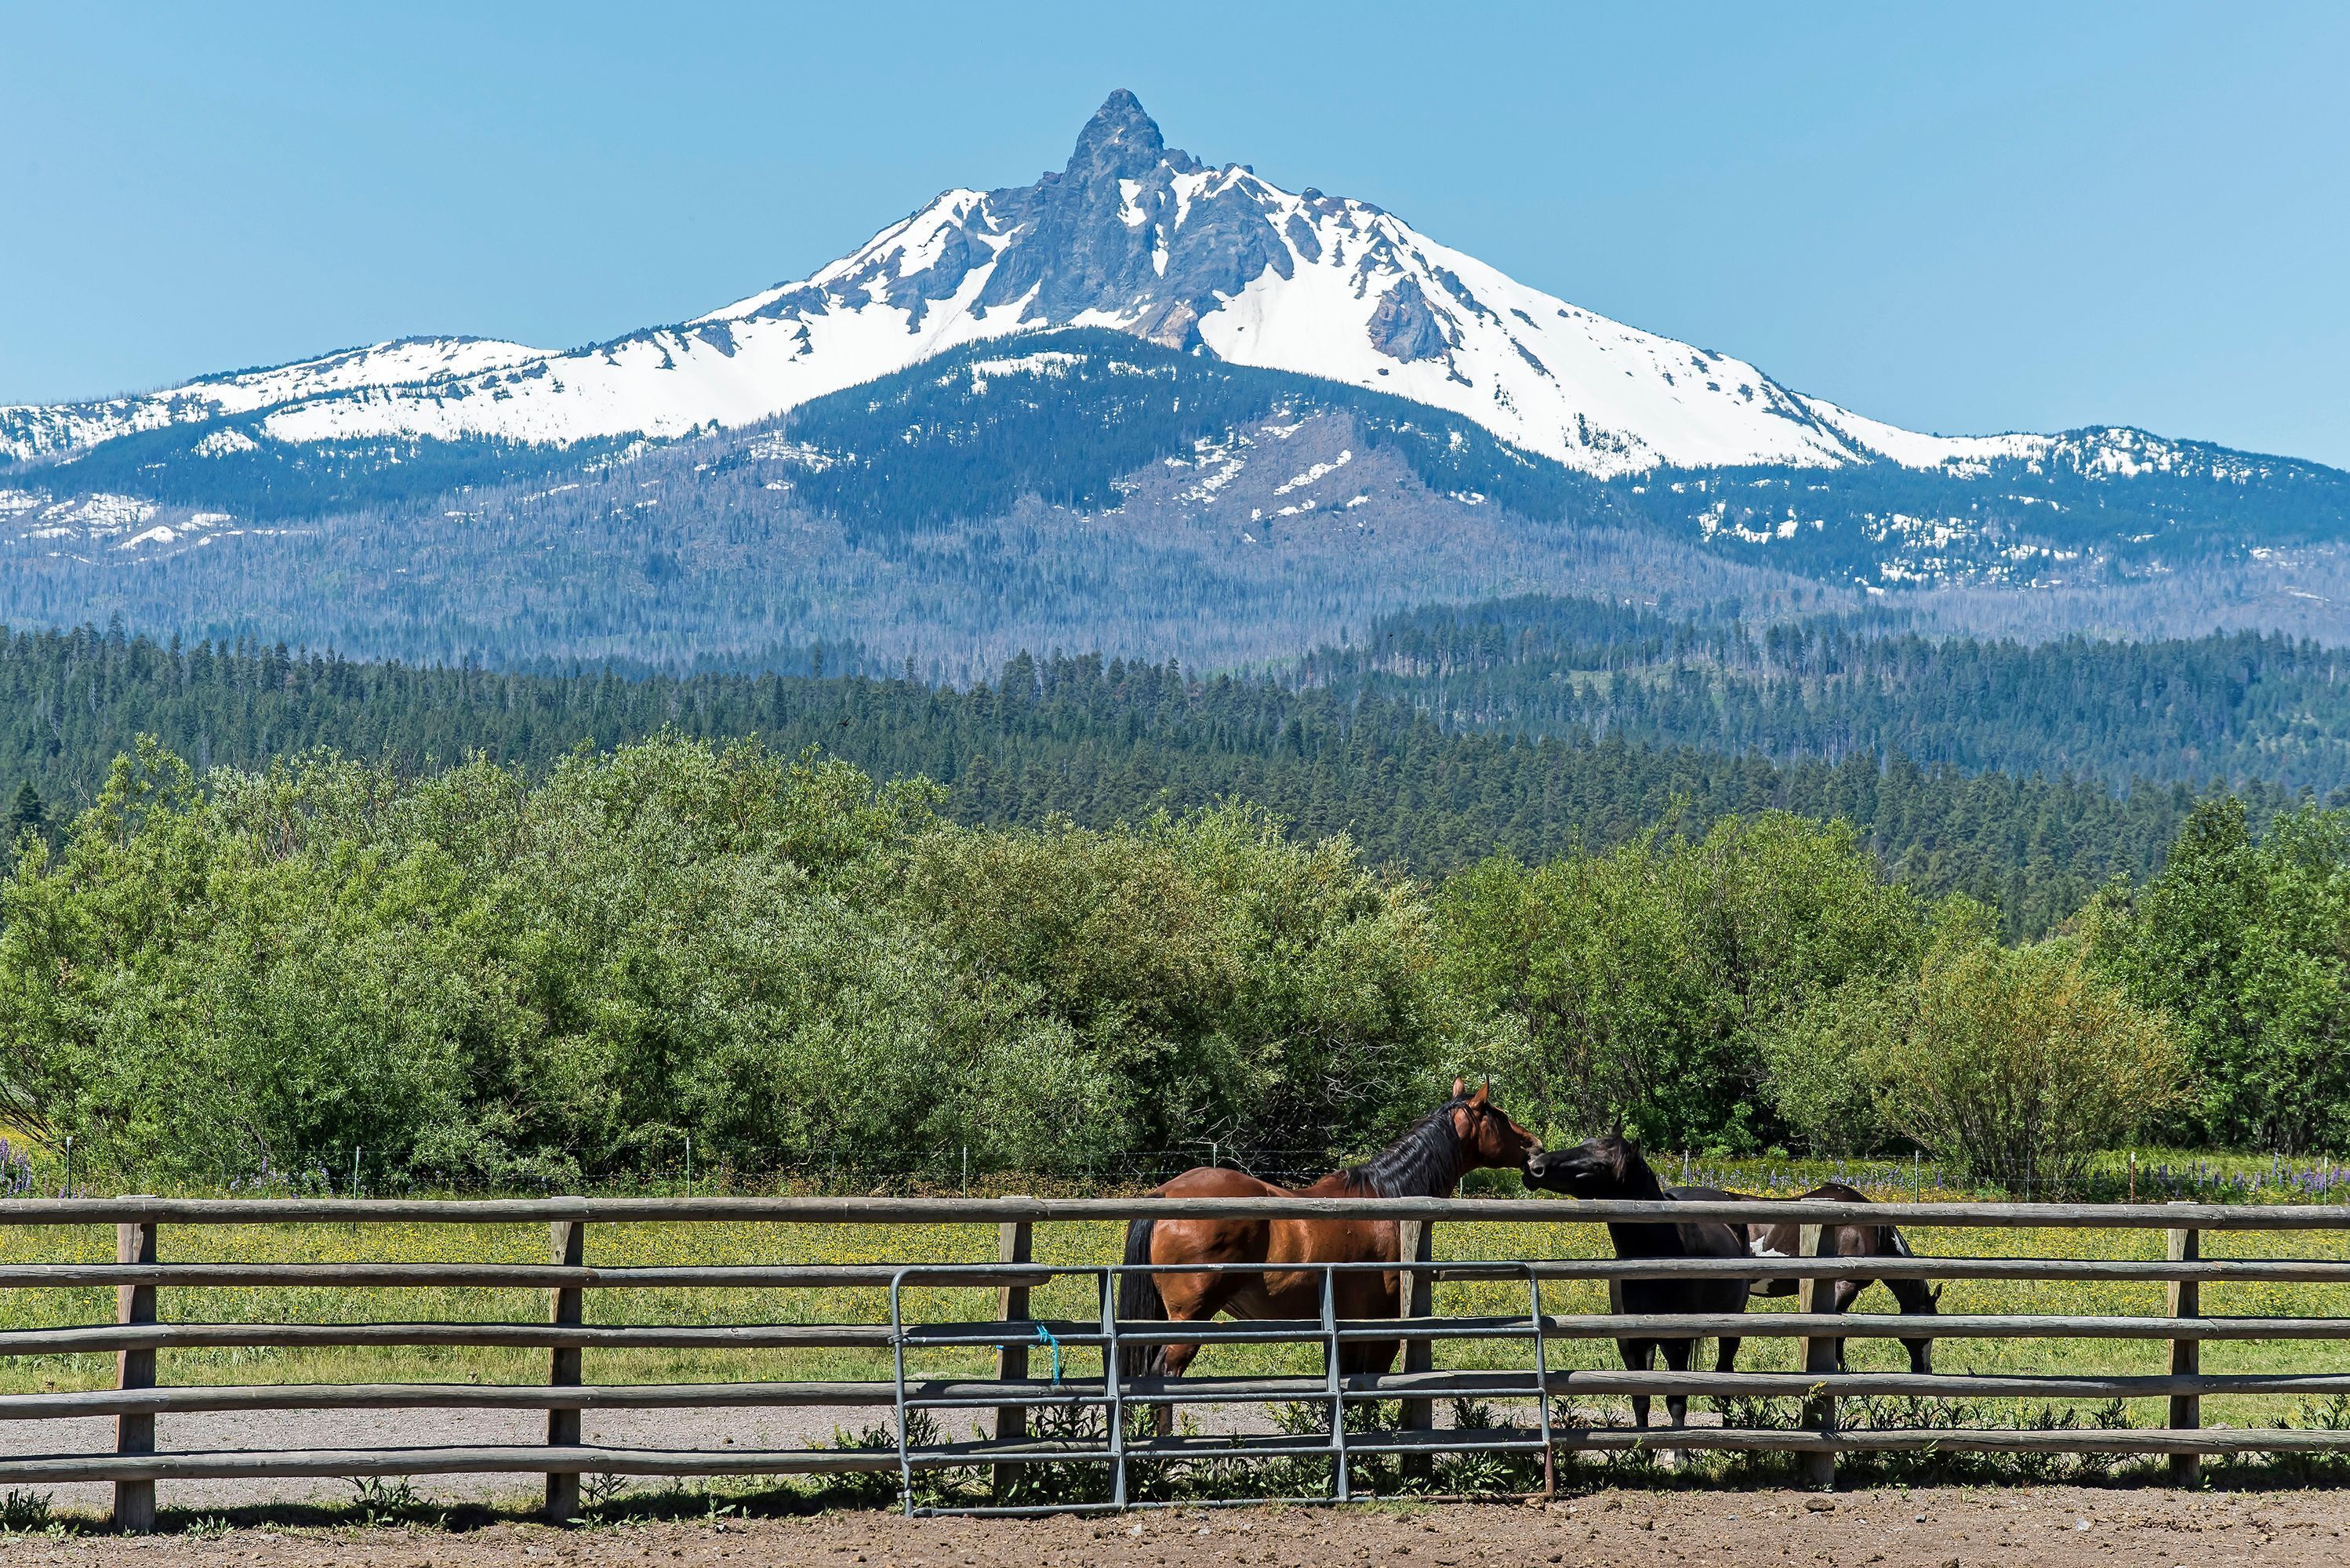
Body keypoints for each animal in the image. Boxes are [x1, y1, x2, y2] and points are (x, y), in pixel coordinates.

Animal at [1116, 1080, 1542, 1431]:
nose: (1536, 1147)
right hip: (1189, 1319)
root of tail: (1167, 1194)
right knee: (1164, 1375)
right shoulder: (1380, 1324)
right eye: (1499, 1116)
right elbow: (1369, 1385)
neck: (1387, 1199)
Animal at [1519, 1132, 1750, 1441]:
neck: (1656, 1252)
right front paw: (1643, 1449)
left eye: (1601, 1164)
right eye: (1584, 1143)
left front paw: (1679, 1452)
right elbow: (1640, 1396)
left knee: (1725, 1376)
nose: (1535, 1166)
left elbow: (1677, 1401)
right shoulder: (1630, 1342)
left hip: (1730, 1327)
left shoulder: (1678, 1342)